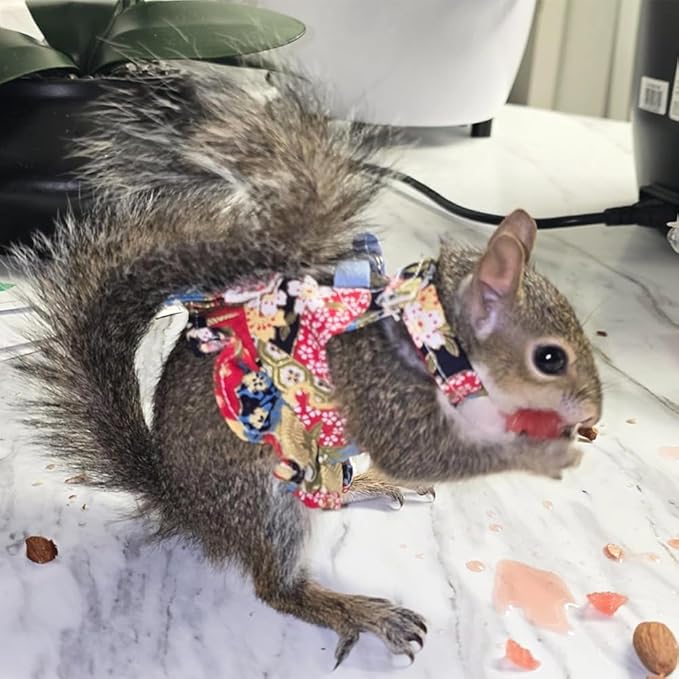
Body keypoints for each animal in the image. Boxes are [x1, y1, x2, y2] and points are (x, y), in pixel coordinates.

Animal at [12, 62, 602, 667]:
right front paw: (540, 451)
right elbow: (427, 450)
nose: (589, 413)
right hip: (268, 500)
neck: (431, 334)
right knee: (278, 590)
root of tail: (184, 505)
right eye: (550, 358)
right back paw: (361, 612)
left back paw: (367, 485)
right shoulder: (387, 399)